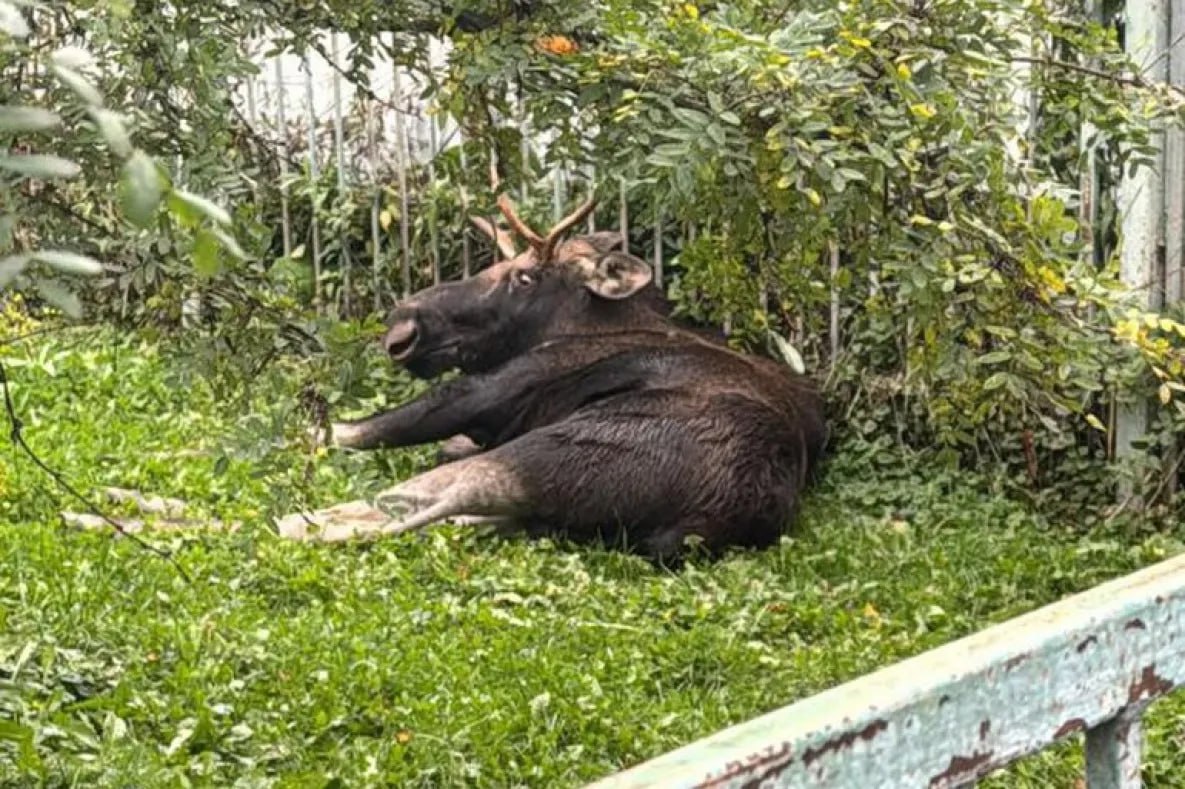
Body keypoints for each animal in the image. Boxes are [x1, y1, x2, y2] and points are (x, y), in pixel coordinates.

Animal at [300, 175, 829, 561]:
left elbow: (350, 430)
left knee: (427, 496)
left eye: (524, 276)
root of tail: (718, 517)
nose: (403, 326)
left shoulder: (490, 389)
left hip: (554, 448)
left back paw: (301, 524)